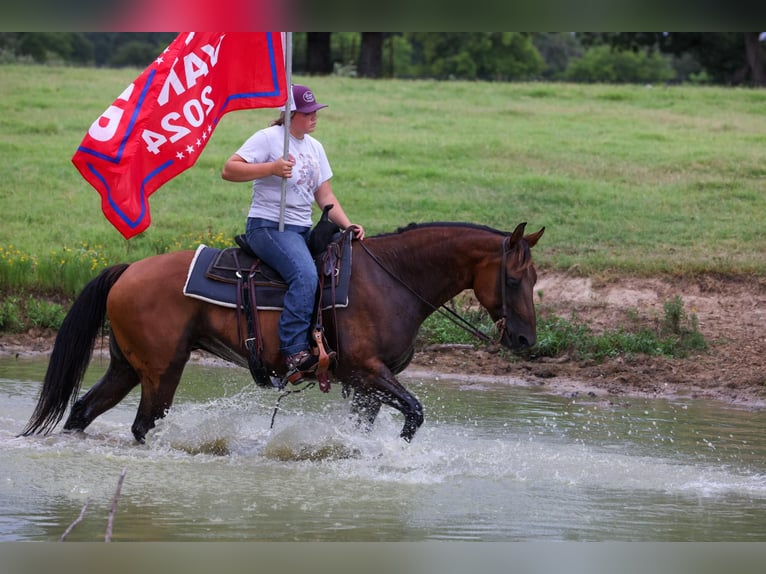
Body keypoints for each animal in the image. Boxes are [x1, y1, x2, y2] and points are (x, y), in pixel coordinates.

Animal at [21, 221, 544, 443]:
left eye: (536, 278)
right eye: (513, 279)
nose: (525, 341)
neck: (392, 279)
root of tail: (128, 270)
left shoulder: (368, 386)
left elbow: (368, 426)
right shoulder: (367, 372)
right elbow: (414, 414)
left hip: (128, 366)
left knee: (83, 410)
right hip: (161, 370)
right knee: (142, 424)